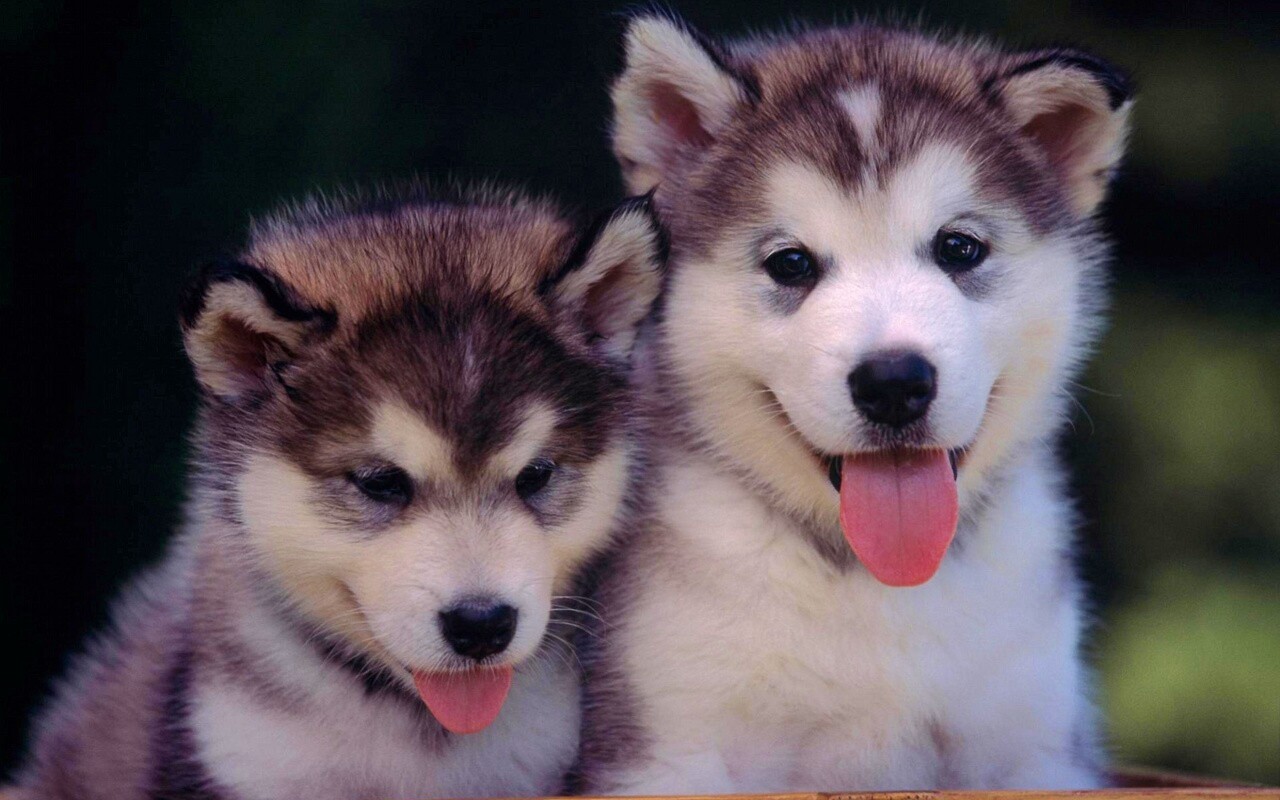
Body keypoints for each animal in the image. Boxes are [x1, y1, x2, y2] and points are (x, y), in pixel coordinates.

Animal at [575, 13, 1132, 793]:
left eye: (960, 248)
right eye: (790, 263)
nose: (894, 383)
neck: (877, 584)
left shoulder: (1038, 747)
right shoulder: (665, 746)